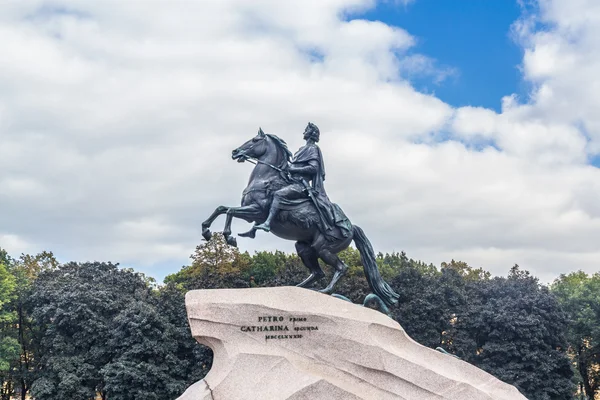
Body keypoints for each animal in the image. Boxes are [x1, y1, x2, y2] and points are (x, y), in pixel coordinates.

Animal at [200, 128, 398, 306]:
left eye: (255, 140)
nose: (235, 152)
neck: (266, 178)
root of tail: (351, 227)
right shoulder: (249, 211)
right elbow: (221, 208)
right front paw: (206, 230)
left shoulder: (257, 211)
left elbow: (230, 211)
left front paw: (230, 237)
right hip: (304, 248)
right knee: (318, 272)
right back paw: (299, 287)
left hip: (324, 248)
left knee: (342, 268)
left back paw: (325, 290)